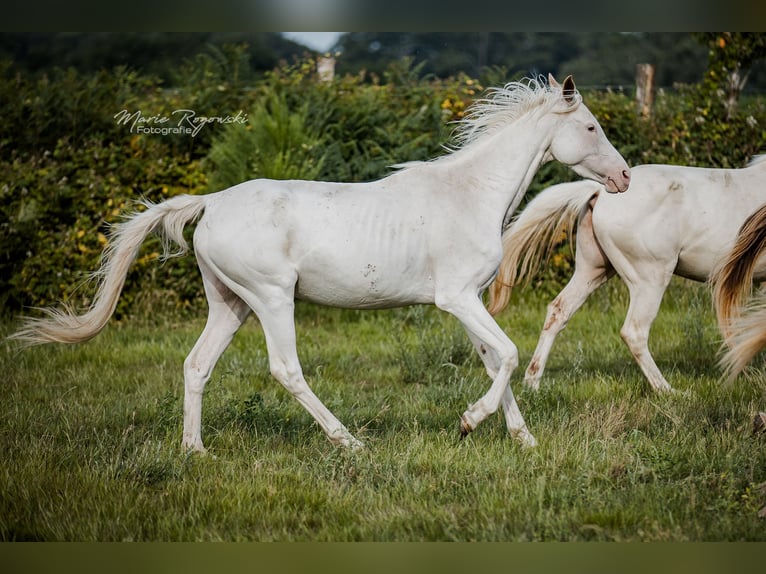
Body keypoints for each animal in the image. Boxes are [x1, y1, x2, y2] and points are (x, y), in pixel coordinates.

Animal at [10, 75, 630, 453]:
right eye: (591, 127)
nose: (624, 177)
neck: (469, 192)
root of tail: (210, 203)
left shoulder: (469, 300)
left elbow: (493, 359)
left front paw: (522, 439)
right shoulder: (455, 297)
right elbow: (507, 353)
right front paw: (470, 422)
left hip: (229, 304)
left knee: (196, 365)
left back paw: (195, 450)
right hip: (271, 298)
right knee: (285, 369)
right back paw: (347, 441)